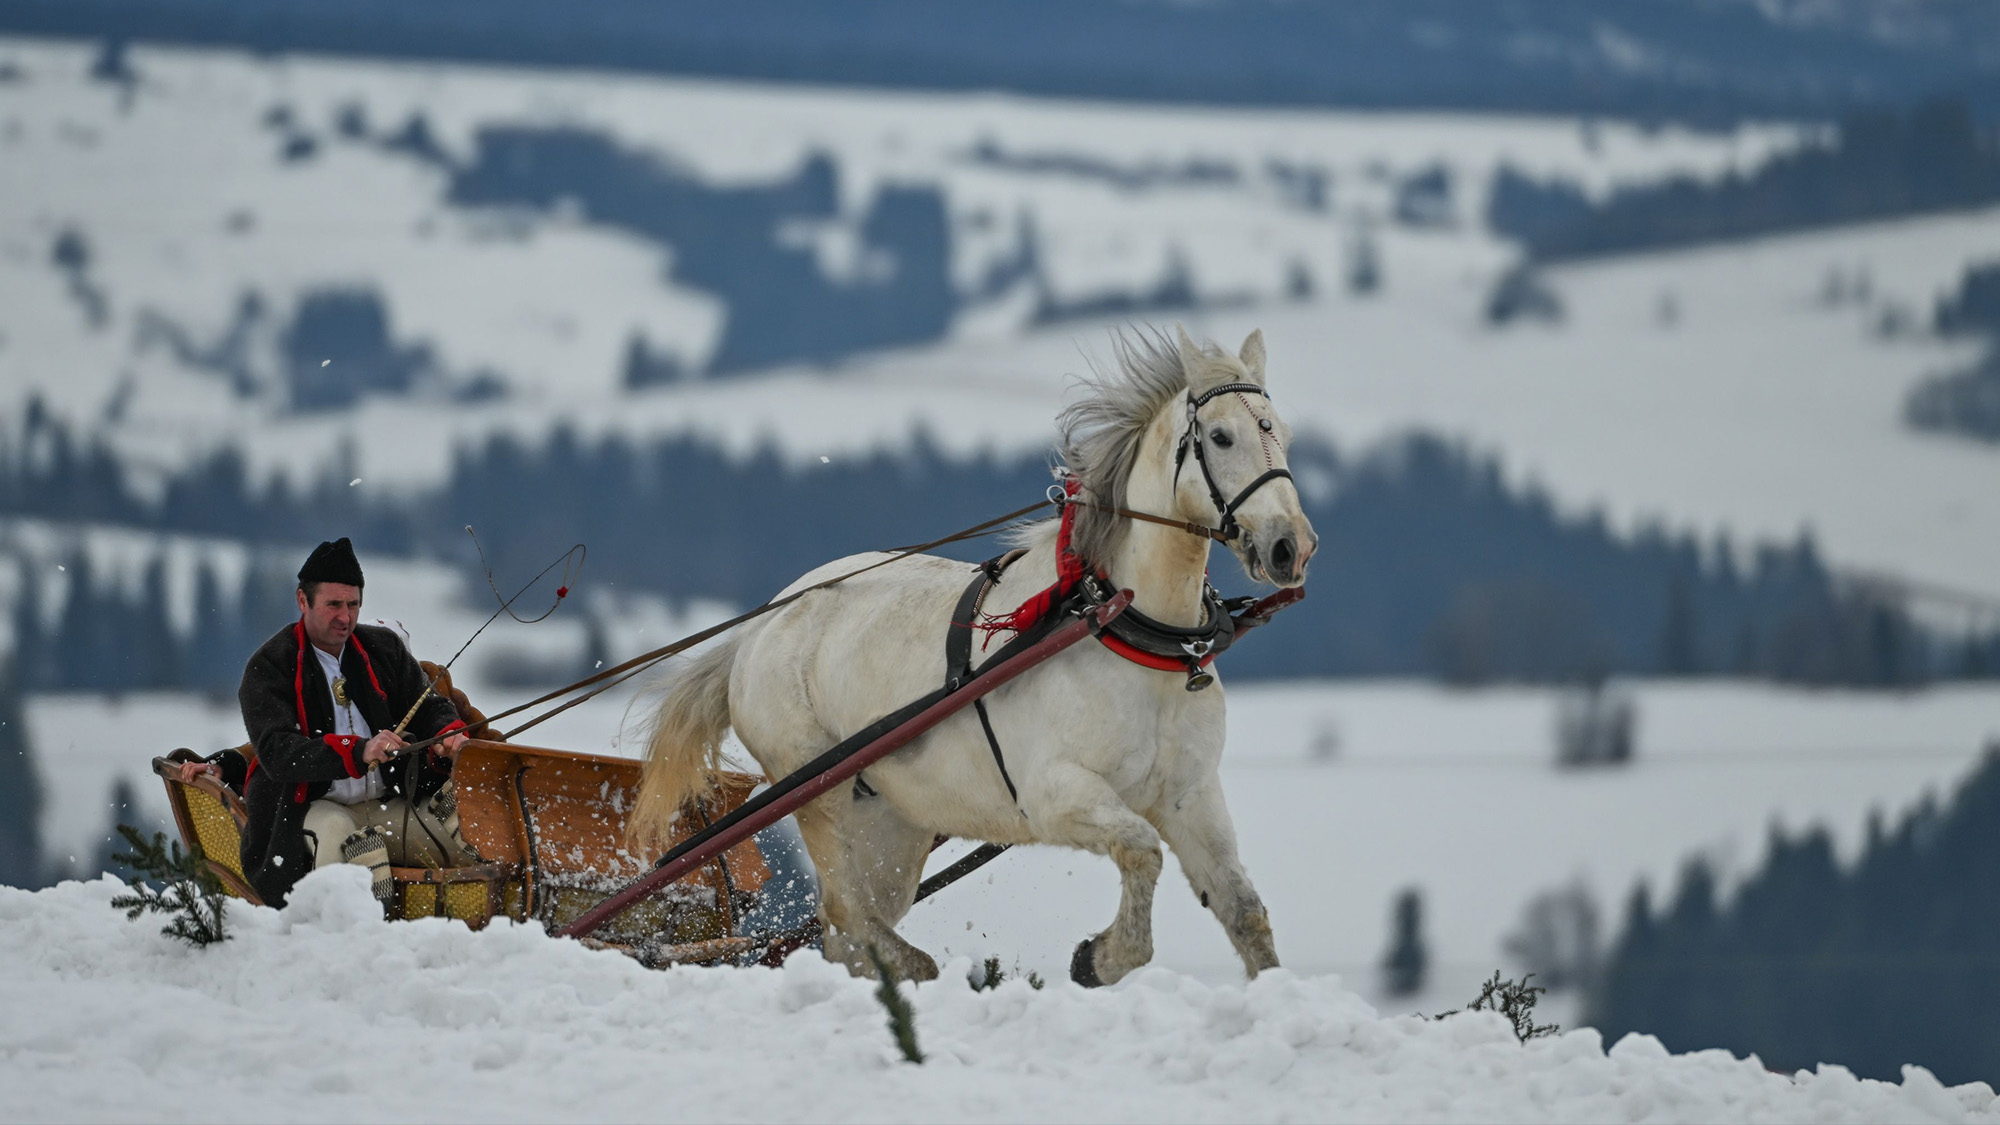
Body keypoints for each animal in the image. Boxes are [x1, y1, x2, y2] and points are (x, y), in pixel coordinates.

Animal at [627, 325, 1316, 986]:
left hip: (890, 828)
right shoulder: (1055, 793)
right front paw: (1097, 959)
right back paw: (916, 968)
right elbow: (1143, 850)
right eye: (1220, 437)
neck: (1134, 634)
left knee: (849, 927)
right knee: (850, 913)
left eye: (1282, 434)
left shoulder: (1190, 795)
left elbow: (1242, 909)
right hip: (818, 792)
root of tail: (761, 626)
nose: (1292, 547)